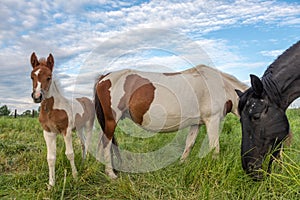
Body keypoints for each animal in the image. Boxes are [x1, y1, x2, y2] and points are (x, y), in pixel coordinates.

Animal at [29, 52, 94, 187]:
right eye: (32, 77)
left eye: (49, 77)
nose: (37, 97)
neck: (52, 109)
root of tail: (87, 100)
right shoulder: (48, 132)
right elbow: (50, 158)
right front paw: (51, 184)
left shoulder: (66, 131)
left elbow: (70, 154)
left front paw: (75, 176)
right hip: (79, 128)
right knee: (83, 143)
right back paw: (83, 162)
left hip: (89, 125)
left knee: (88, 142)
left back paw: (87, 162)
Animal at [94, 64, 248, 178]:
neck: (221, 87)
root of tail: (104, 77)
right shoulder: (213, 120)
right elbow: (214, 146)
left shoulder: (196, 123)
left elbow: (189, 143)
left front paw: (182, 163)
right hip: (111, 120)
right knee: (106, 143)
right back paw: (111, 174)